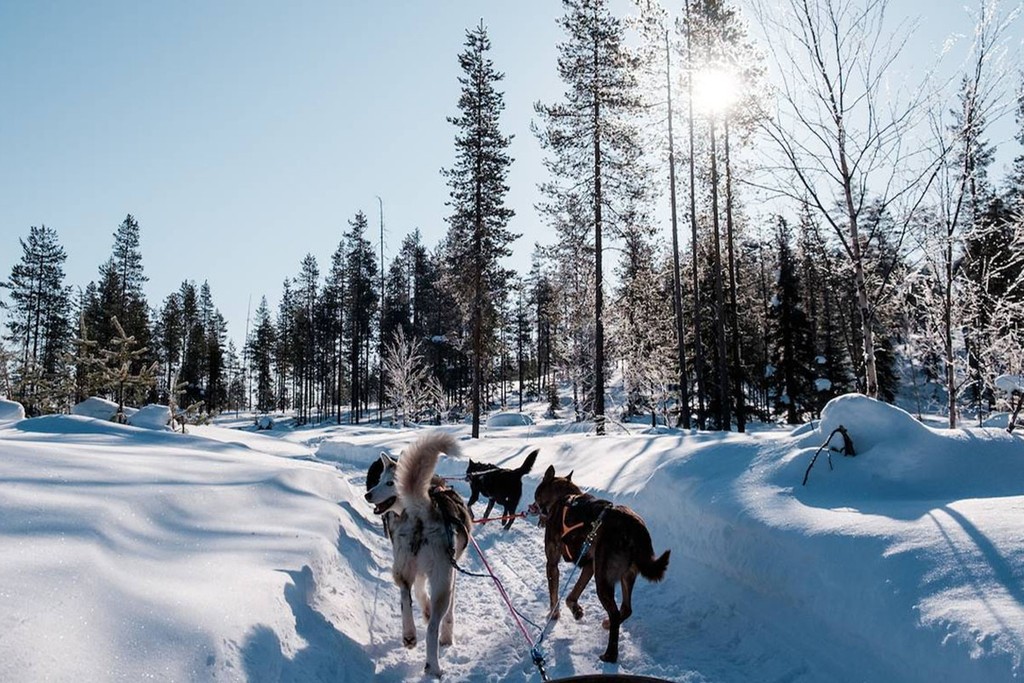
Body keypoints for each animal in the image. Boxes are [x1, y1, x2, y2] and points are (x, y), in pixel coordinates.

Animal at [364, 432, 471, 679]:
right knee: (432, 628)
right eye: (379, 480)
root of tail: (423, 511)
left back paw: (410, 635)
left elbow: (420, 594)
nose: (367, 494)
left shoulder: (420, 572)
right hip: (442, 581)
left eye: (389, 482)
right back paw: (434, 666)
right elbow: (448, 615)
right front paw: (447, 638)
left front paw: (424, 610)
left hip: (403, 568)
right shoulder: (451, 576)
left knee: (405, 596)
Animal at [528, 464, 671, 663]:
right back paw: (608, 624)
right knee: (626, 608)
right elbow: (572, 594)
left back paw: (610, 653)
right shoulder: (589, 565)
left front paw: (554, 614)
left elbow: (554, 594)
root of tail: (634, 527)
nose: (532, 506)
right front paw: (576, 610)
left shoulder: (553, 563)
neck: (564, 497)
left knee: (616, 612)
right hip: (624, 574)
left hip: (603, 579)